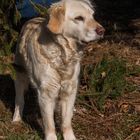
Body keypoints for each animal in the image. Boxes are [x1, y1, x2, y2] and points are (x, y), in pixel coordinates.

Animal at [12, 0, 104, 139]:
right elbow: (49, 123)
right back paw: (16, 119)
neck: (63, 54)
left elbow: (66, 122)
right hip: (20, 73)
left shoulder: (70, 90)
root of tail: (32, 19)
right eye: (79, 18)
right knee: (19, 99)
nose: (102, 30)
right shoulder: (46, 93)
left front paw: (70, 136)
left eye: (92, 16)